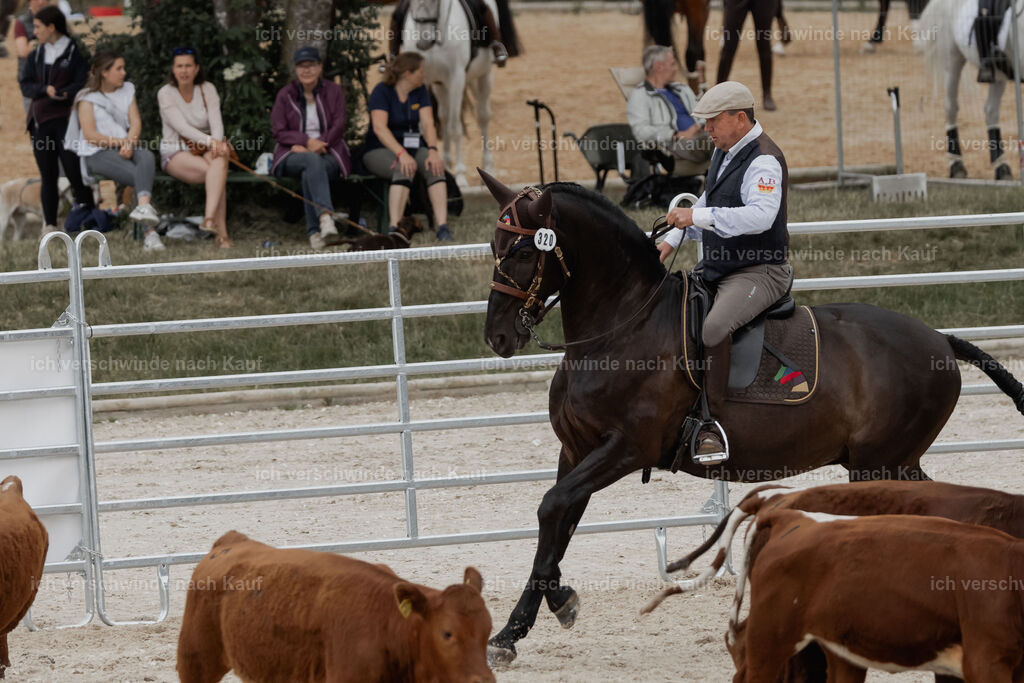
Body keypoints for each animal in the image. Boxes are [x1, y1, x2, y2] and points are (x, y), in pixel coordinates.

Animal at [400, 0, 519, 186]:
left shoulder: (456, 78)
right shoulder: (424, 80)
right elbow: (424, 126)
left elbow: (455, 129)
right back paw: (446, 163)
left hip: (483, 76)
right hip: (440, 85)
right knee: (444, 117)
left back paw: (488, 167)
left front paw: (461, 176)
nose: (423, 42)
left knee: (482, 117)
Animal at [477, 169, 1024, 665]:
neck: (621, 326)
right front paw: (518, 628)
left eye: (522, 252)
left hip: (880, 464)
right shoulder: (576, 451)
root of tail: (941, 342)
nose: (497, 337)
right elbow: (556, 524)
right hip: (890, 464)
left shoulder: (626, 449)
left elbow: (551, 508)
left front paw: (550, 607)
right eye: (493, 245)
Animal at [921, 0, 1023, 179]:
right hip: (952, 62)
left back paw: (1001, 167)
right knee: (951, 108)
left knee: (991, 111)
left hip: (999, 74)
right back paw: (956, 165)